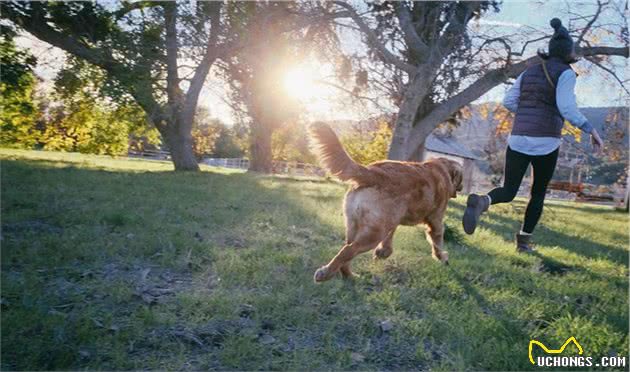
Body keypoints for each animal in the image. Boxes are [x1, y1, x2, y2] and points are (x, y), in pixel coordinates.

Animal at [310, 122, 464, 282]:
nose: (462, 187)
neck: (442, 169)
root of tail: (372, 172)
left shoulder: (394, 220)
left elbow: (390, 236)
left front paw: (383, 251)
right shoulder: (436, 221)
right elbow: (437, 242)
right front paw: (442, 257)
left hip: (355, 225)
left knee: (347, 251)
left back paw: (349, 275)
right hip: (373, 233)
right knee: (348, 250)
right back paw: (325, 273)